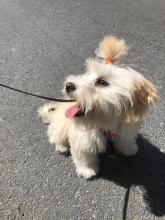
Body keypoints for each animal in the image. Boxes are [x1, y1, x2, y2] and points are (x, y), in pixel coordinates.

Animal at [38, 35, 158, 179]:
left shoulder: (126, 128)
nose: (68, 85)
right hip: (60, 125)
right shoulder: (83, 138)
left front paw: (129, 149)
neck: (106, 122)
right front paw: (87, 170)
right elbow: (83, 155)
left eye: (102, 82)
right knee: (54, 135)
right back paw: (61, 146)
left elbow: (125, 140)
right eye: (86, 74)